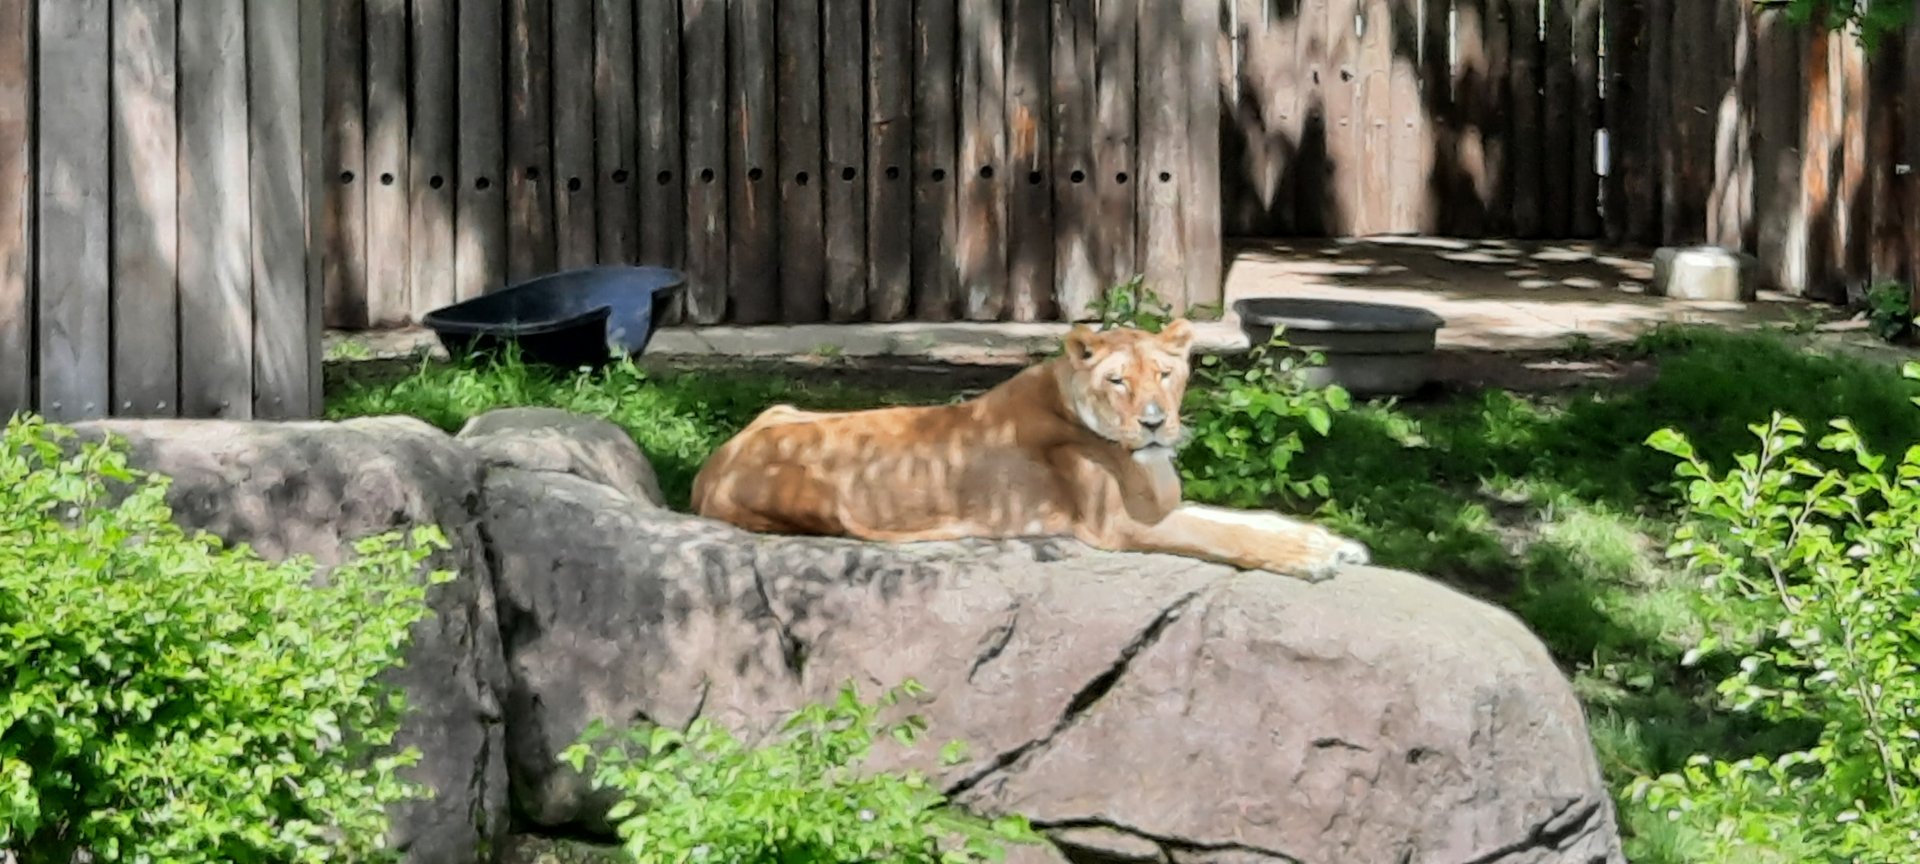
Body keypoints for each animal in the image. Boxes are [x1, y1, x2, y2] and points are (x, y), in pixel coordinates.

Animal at [689, 318, 1371, 582]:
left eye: (1165, 374)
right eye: (1118, 380)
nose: (1155, 423)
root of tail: (708, 469)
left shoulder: (1160, 505)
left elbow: (1253, 519)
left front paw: (1336, 543)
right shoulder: (1118, 526)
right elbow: (1227, 535)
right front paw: (1315, 559)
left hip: (785, 408)